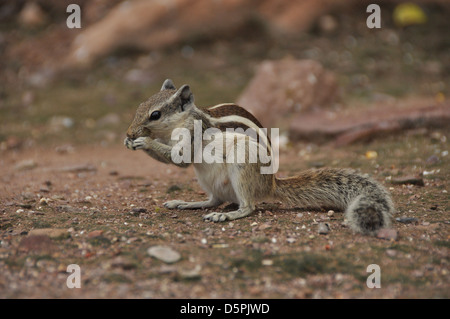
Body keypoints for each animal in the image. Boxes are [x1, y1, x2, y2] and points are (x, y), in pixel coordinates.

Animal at [124, 79, 394, 236]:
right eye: (139, 106)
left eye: (155, 115)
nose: (129, 133)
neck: (183, 120)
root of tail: (270, 184)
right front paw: (130, 142)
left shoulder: (192, 135)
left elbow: (180, 160)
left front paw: (144, 141)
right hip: (206, 179)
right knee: (213, 200)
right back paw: (187, 203)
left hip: (242, 165)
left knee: (248, 206)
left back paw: (227, 215)